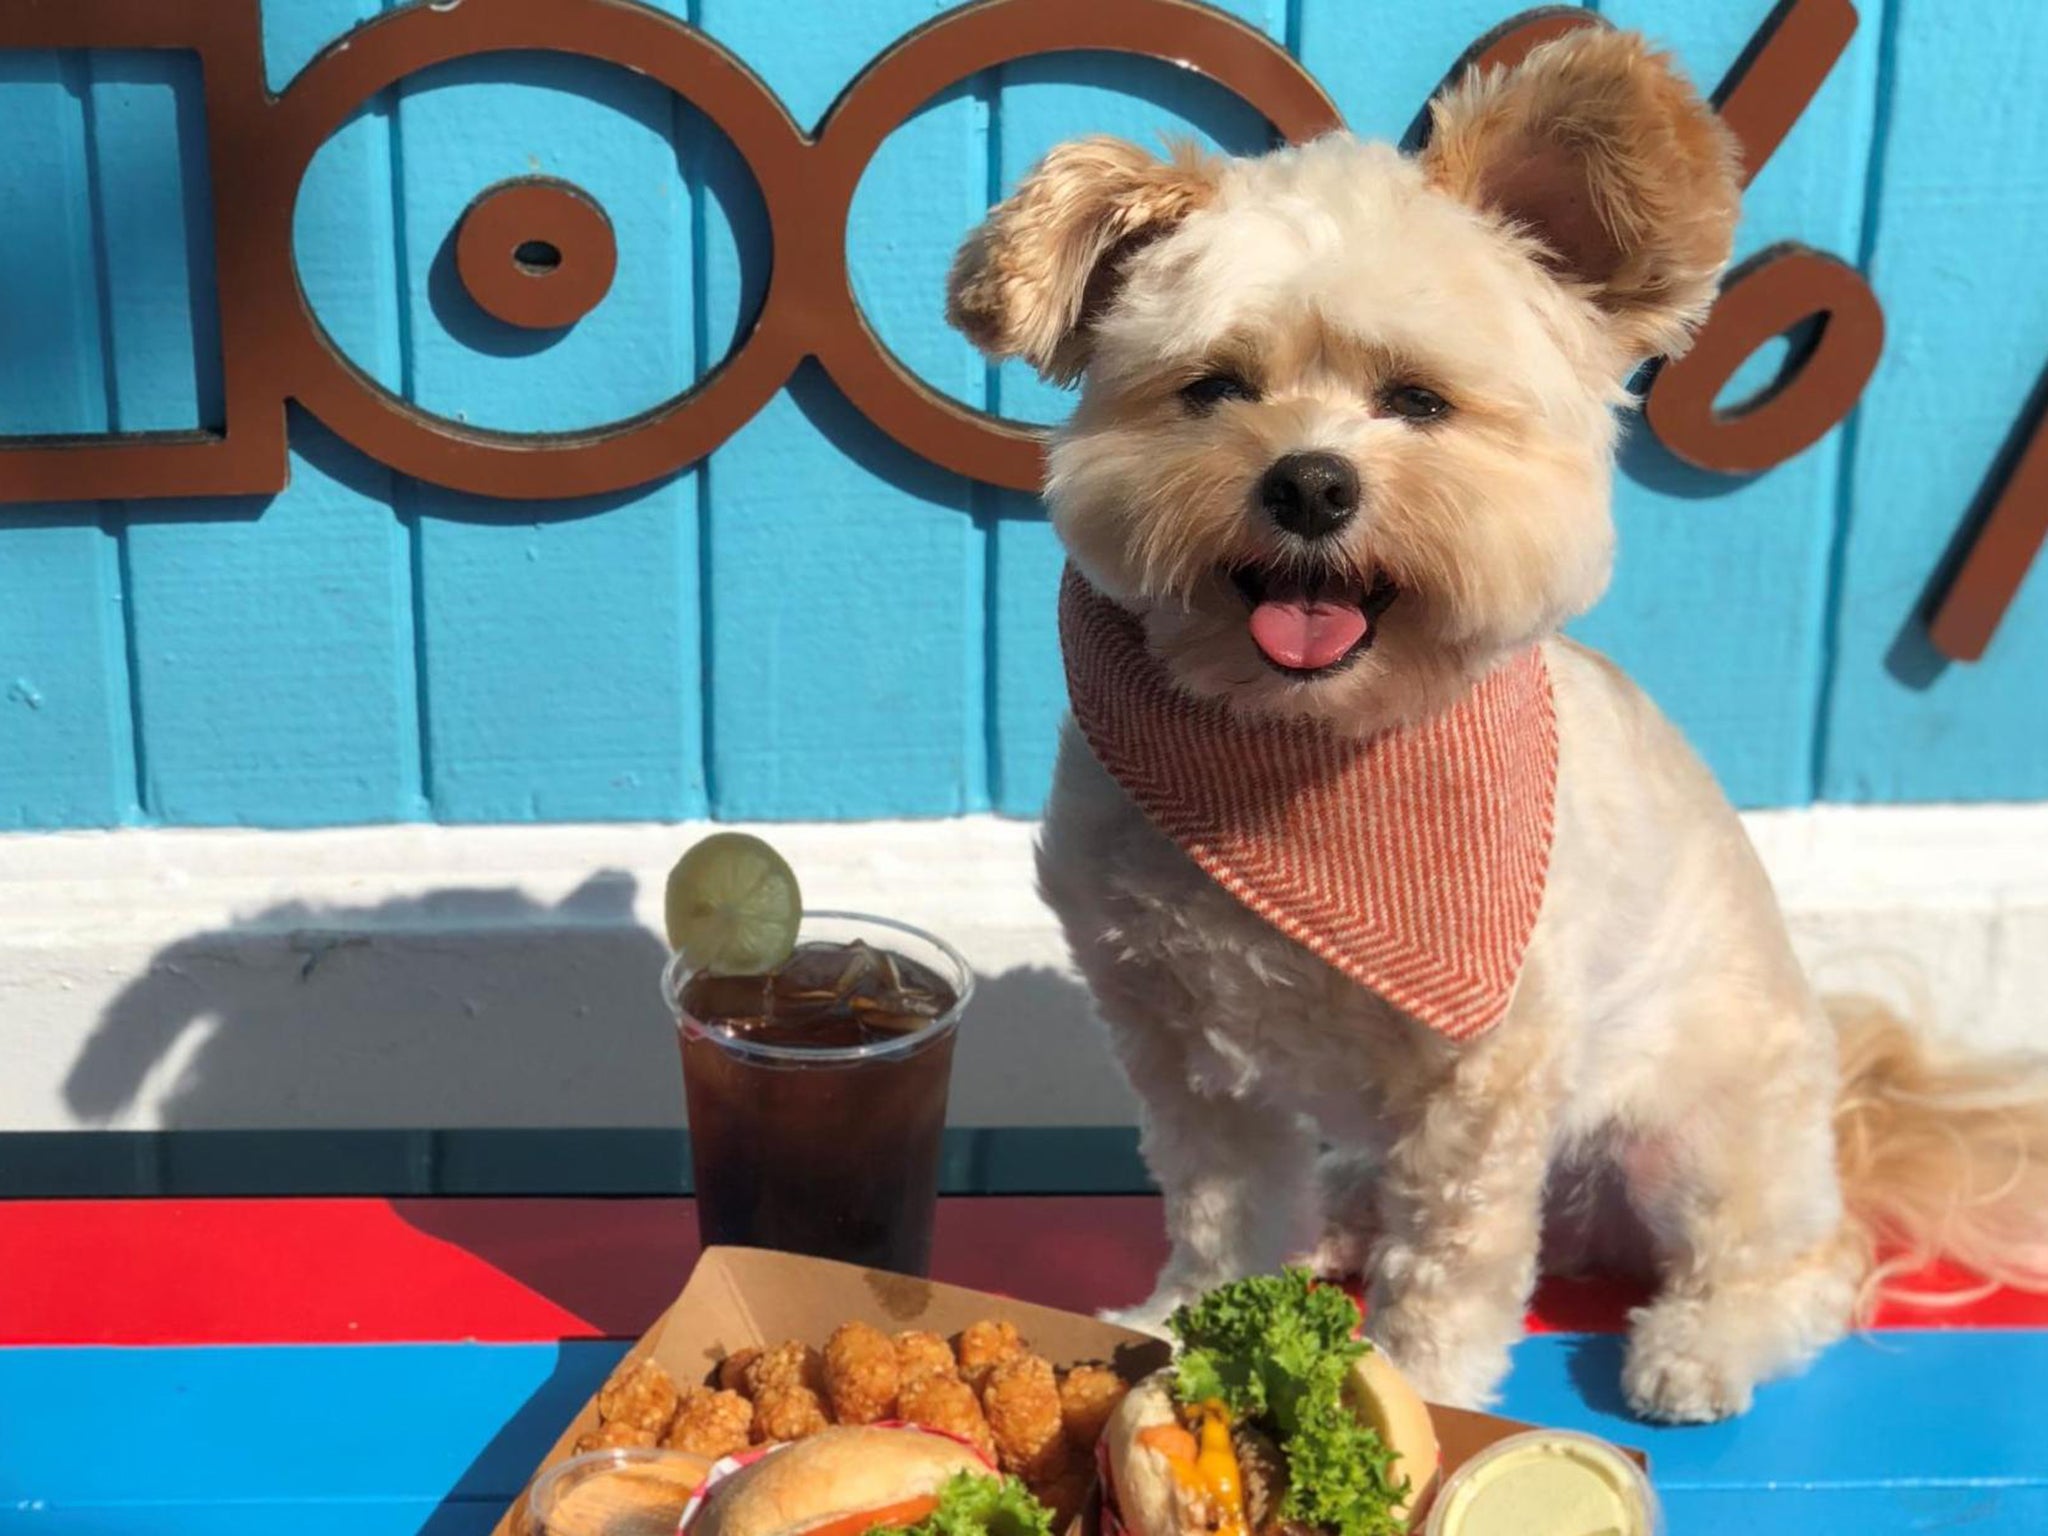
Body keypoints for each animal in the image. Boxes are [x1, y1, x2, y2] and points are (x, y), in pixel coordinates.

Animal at [942, 27, 2048, 1433]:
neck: (1305, 761)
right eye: (1213, 390)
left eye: (1416, 401)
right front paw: (1188, 1318)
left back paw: (1700, 1344)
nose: (1309, 481)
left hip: (1700, 1130)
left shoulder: (1481, 1084)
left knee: (1801, 1263)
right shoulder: (1179, 1044)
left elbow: (1450, 1262)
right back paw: (1338, 1221)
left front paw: (1419, 1386)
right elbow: (1221, 1209)